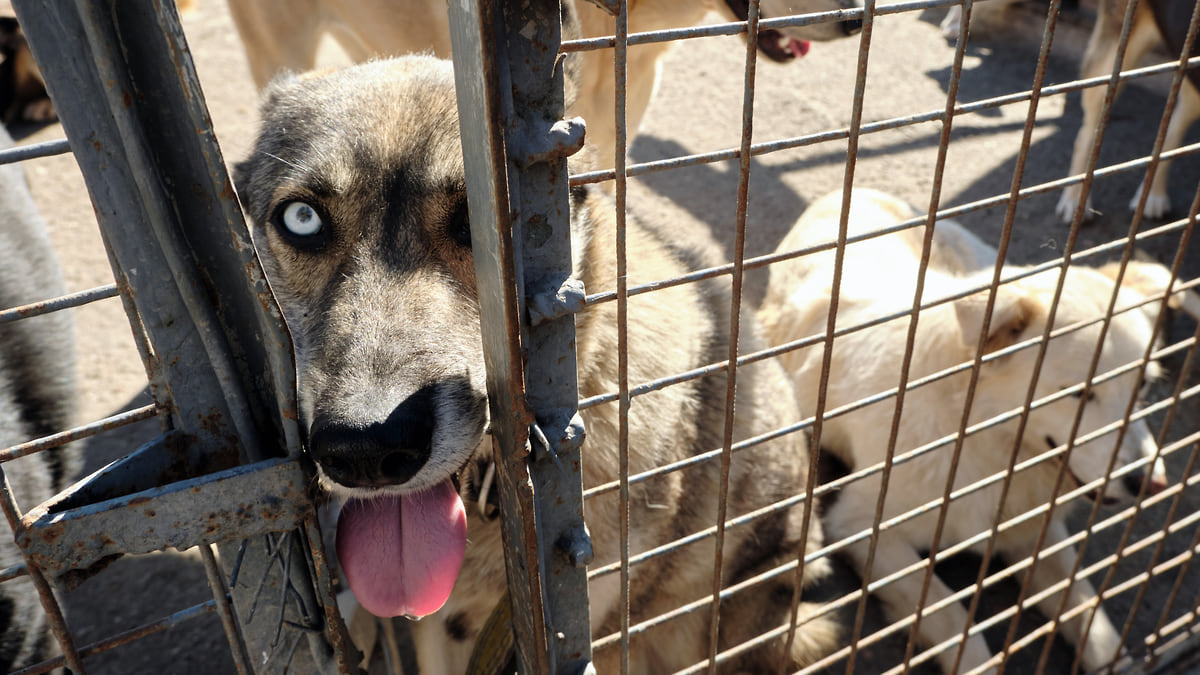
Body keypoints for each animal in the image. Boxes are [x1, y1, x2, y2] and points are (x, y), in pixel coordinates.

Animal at [758, 186, 1180, 667]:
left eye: (1143, 385)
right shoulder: (861, 526)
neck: (981, 436)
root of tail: (849, 192)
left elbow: (1088, 614)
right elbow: (950, 615)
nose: (1151, 483)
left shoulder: (1031, 526)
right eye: (1079, 392)